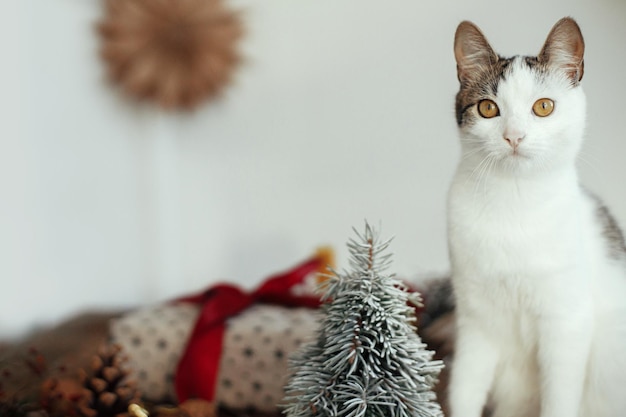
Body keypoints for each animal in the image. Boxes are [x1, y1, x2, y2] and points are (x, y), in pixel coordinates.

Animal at [446, 17, 624, 416]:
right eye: (488, 108)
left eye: (543, 107)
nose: (514, 136)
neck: (513, 201)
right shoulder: (476, 321)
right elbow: (464, 387)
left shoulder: (567, 323)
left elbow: (559, 398)